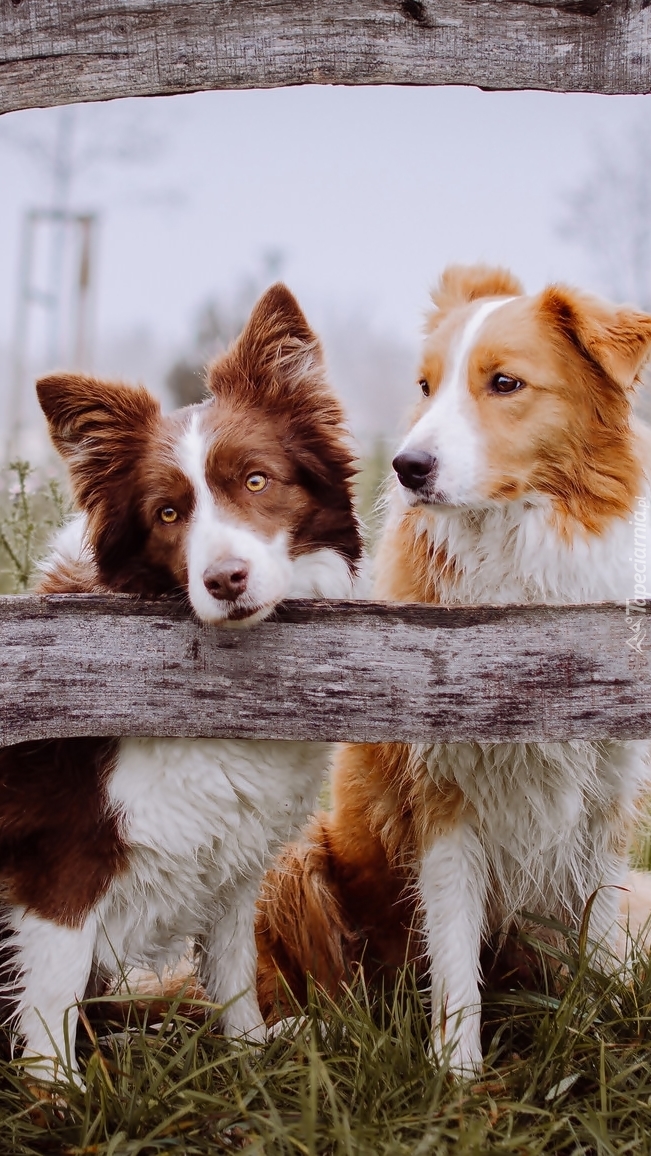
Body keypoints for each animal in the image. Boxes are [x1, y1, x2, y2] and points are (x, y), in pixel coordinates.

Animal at [0, 284, 365, 1077]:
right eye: (167, 513)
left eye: (256, 480)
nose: (224, 580)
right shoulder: (61, 865)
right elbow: (52, 997)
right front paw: (60, 1093)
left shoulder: (231, 853)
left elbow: (231, 966)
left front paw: (250, 1050)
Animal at [257, 268, 651, 1072]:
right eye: (425, 386)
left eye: (504, 383)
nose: (408, 467)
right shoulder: (442, 797)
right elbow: (454, 951)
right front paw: (457, 1072)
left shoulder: (606, 799)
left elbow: (593, 934)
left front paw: (592, 1036)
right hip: (295, 865)